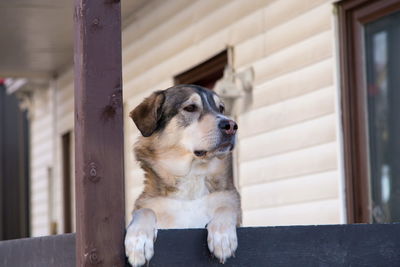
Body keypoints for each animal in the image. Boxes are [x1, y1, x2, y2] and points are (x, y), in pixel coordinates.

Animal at [124, 85, 241, 266]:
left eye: (221, 108)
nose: (231, 126)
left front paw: (223, 236)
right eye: (190, 108)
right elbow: (145, 211)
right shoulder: (149, 206)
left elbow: (225, 207)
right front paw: (138, 239)